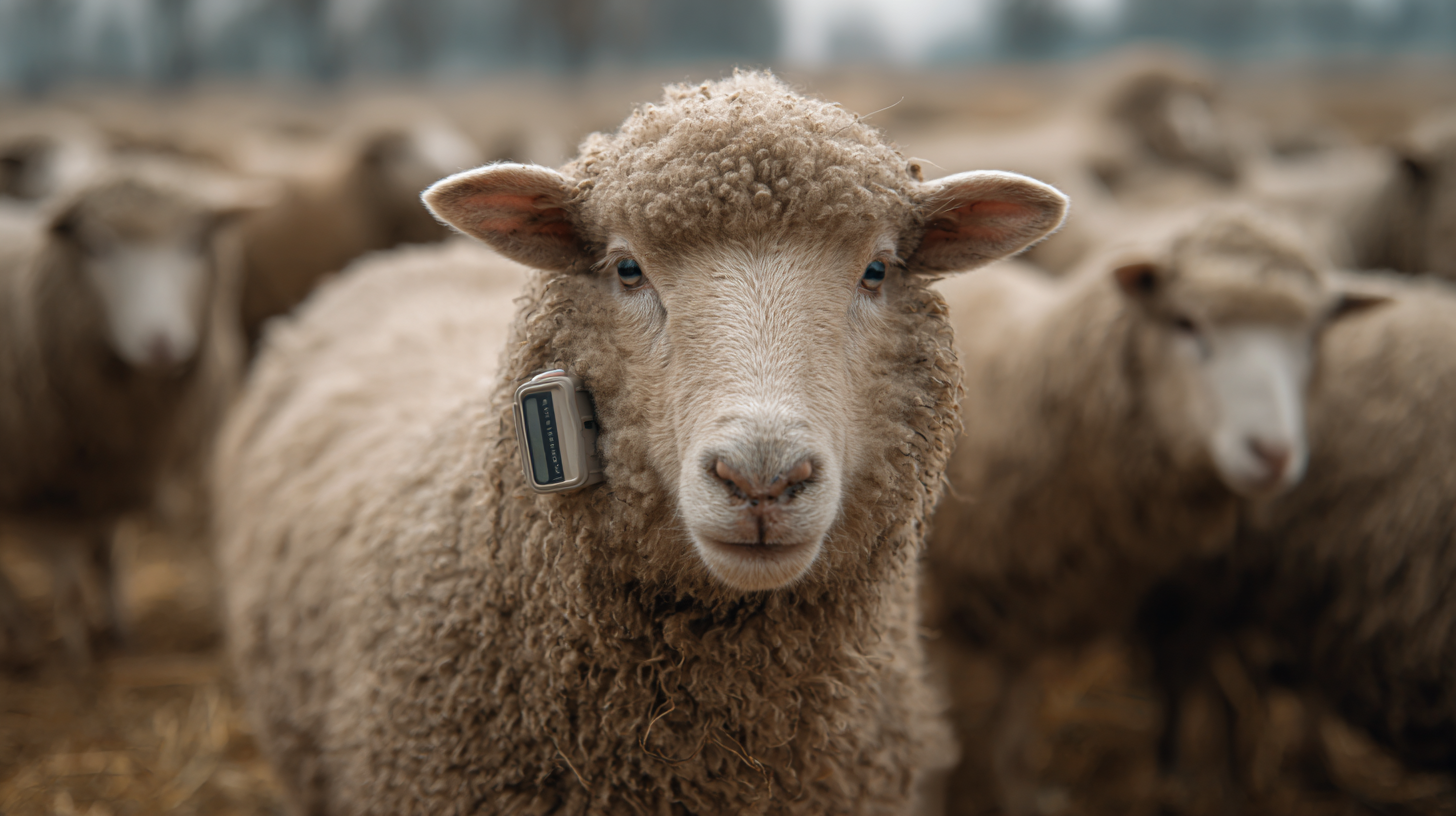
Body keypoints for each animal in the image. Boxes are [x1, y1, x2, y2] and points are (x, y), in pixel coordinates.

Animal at [0, 159, 265, 665]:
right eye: (96, 246)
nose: (160, 344)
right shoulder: (41, 487)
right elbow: (67, 580)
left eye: (195, 243)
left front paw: (120, 632)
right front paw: (78, 656)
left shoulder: (117, 474)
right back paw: (22, 639)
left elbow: (109, 557)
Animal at [923, 209, 1384, 814]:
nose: (1274, 455)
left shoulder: (1033, 607)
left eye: (1311, 338)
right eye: (1185, 323)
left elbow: (1016, 738)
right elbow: (934, 746)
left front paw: (1022, 795)